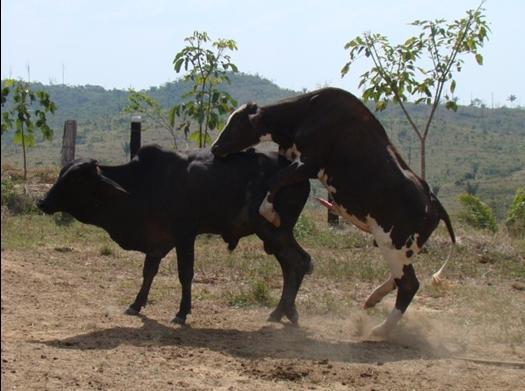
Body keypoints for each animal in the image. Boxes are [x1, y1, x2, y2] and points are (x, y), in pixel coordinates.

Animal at [40, 145, 316, 326]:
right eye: (61, 174)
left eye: (75, 181)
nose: (42, 202)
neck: (143, 184)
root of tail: (297, 170)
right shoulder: (157, 241)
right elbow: (148, 272)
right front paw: (136, 305)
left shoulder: (185, 235)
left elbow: (185, 274)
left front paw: (181, 313)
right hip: (273, 236)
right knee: (291, 266)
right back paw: (282, 312)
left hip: (274, 231)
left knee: (300, 262)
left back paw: (284, 312)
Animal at [210, 88, 454, 336]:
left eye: (236, 124)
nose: (215, 147)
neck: (306, 112)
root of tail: (432, 199)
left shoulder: (308, 164)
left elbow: (275, 179)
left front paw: (269, 211)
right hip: (399, 247)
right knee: (400, 278)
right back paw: (373, 299)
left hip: (393, 243)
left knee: (409, 284)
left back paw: (380, 329)